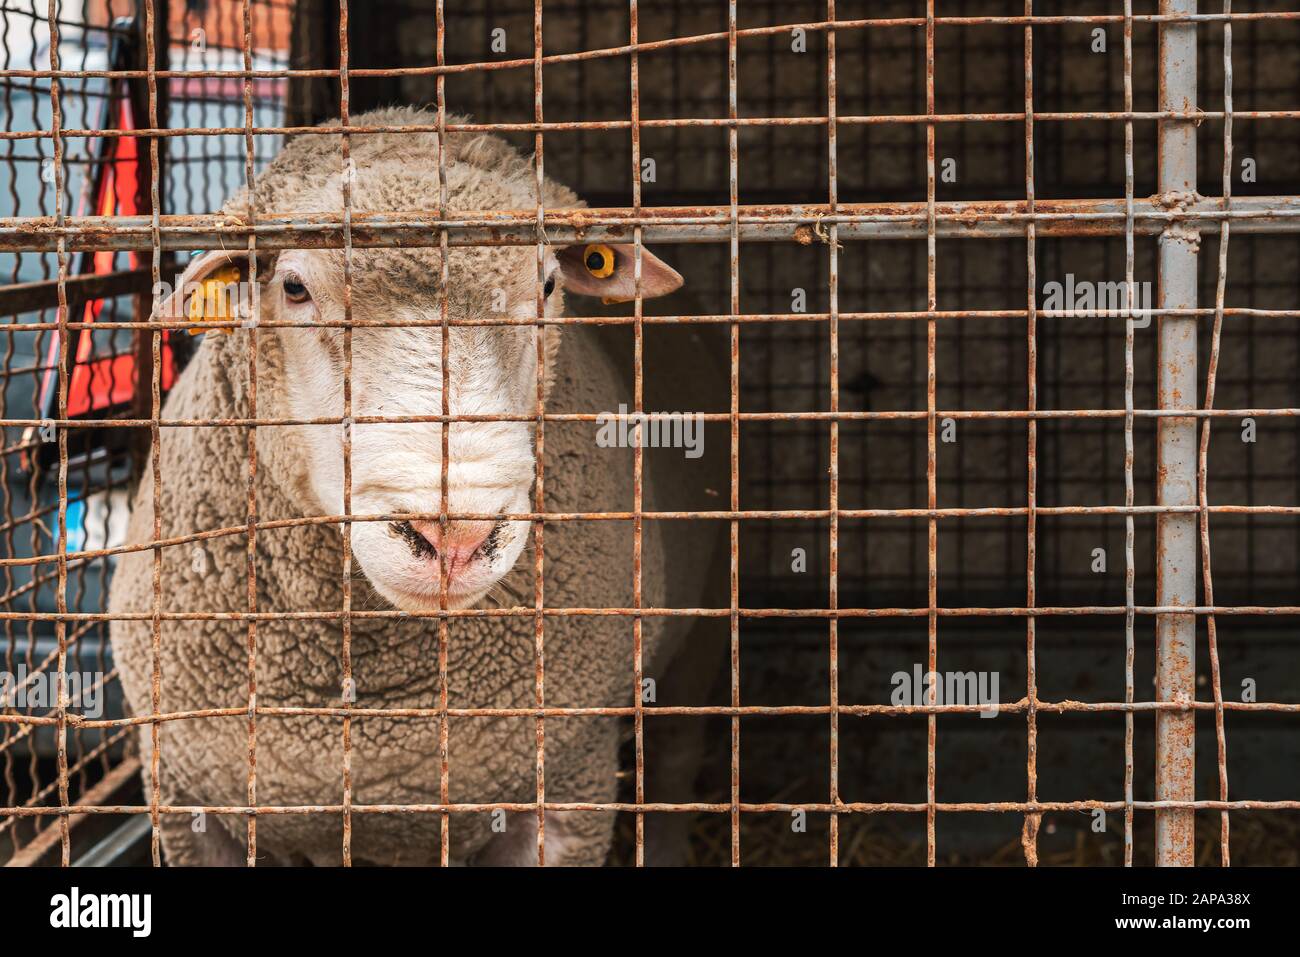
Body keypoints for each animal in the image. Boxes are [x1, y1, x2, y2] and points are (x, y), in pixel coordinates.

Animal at [106, 106, 728, 868]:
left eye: (548, 286)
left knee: (676, 756)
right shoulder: (185, 800)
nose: (454, 537)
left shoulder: (569, 790)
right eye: (293, 287)